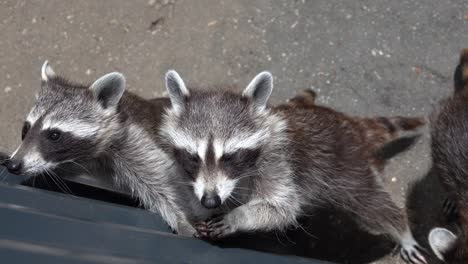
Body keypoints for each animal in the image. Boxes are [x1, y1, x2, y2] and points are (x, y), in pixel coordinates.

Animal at [4, 62, 194, 235]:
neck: (89, 157)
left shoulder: (136, 143)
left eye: (54, 135)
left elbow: (166, 185)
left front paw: (183, 220)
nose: (13, 165)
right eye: (26, 127)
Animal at [161, 69, 428, 262]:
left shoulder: (279, 164)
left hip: (346, 166)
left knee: (372, 203)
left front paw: (237, 216)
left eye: (229, 156)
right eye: (193, 157)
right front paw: (198, 215)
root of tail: (346, 121)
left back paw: (401, 229)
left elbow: (281, 208)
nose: (211, 201)